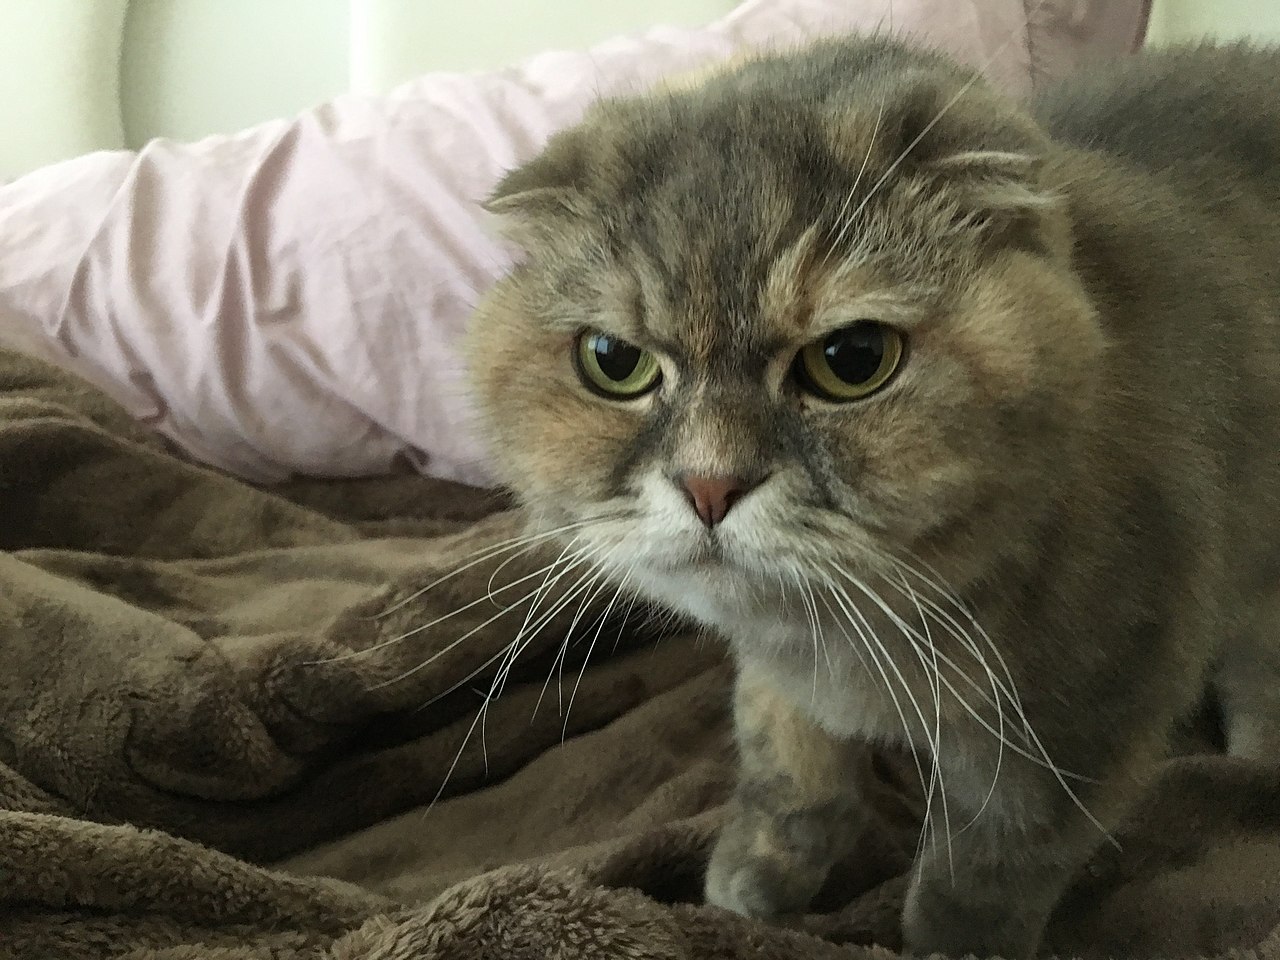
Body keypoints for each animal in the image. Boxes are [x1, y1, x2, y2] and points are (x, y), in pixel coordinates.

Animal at [465, 35, 1280, 960]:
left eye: (852, 360)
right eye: (614, 361)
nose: (709, 485)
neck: (841, 634)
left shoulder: (1070, 733)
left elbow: (976, 881)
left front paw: (945, 945)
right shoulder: (779, 676)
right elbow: (788, 767)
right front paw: (751, 881)